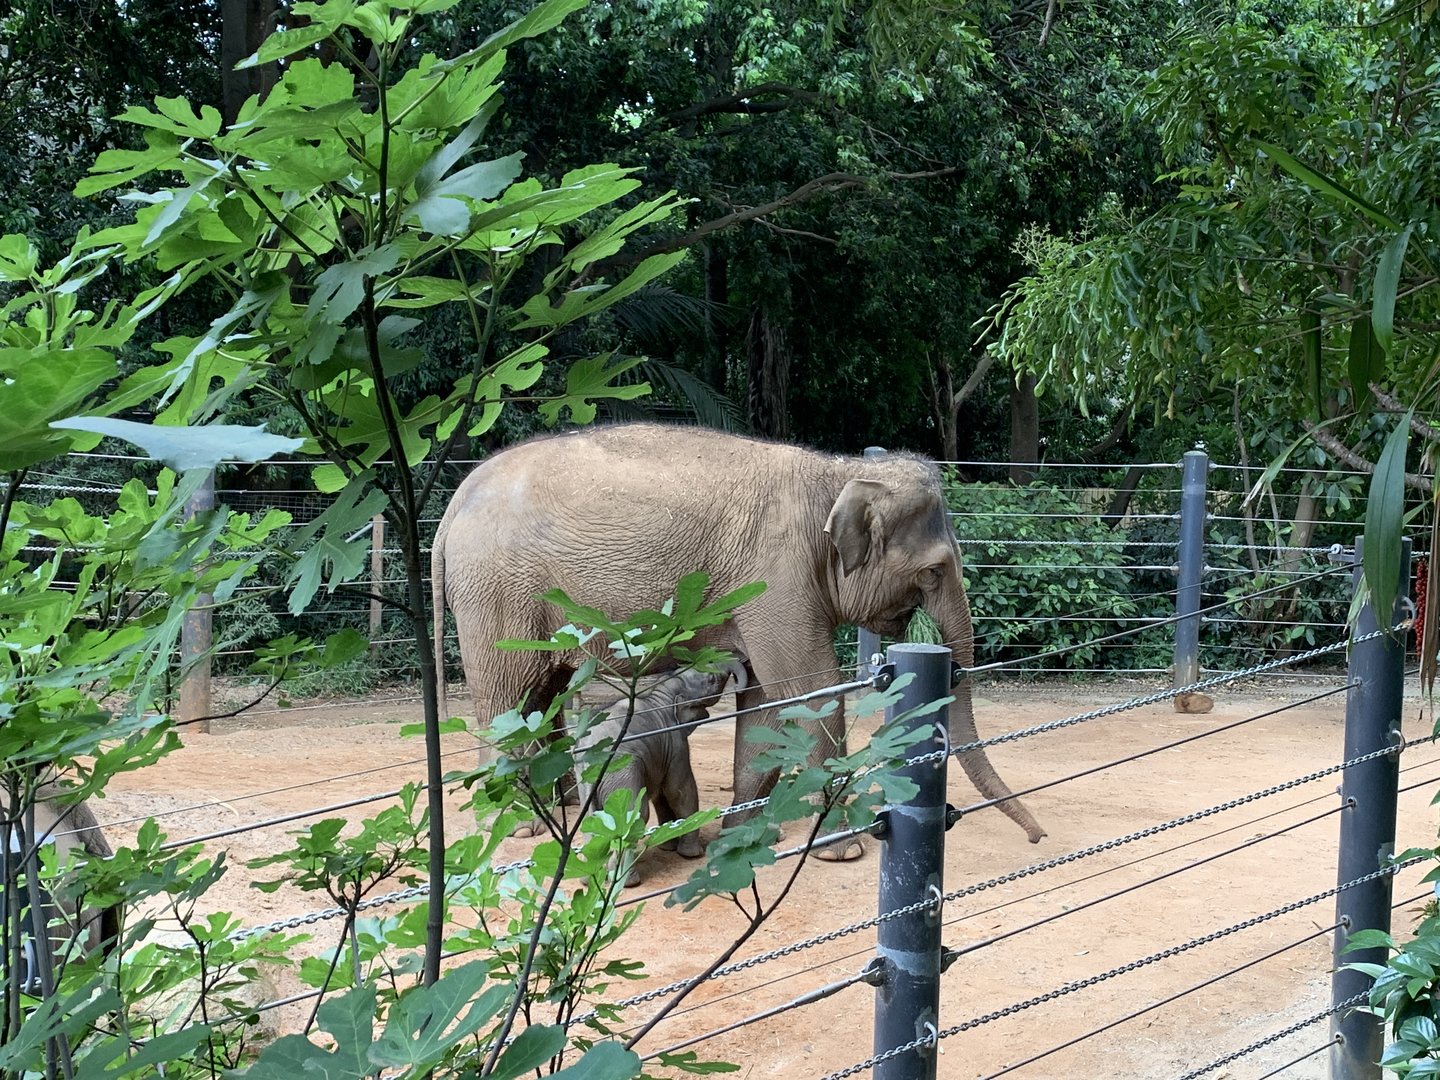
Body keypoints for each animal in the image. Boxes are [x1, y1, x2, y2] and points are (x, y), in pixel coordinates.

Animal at [431, 423, 1046, 854]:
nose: (1038, 838)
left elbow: (768, 701)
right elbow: (811, 690)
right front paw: (842, 849)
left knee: (547, 693)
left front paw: (743, 832)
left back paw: (562, 816)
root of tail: (453, 504)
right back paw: (523, 828)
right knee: (510, 698)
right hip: (498, 595)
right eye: (936, 570)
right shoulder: (779, 576)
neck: (836, 473)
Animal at [576, 662, 745, 886]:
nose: (738, 687)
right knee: (637, 815)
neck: (661, 695)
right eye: (710, 679)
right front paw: (692, 855)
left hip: (584, 780)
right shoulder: (675, 742)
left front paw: (667, 847)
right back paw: (627, 881)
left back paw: (589, 879)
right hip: (620, 774)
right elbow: (679, 792)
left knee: (589, 822)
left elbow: (661, 796)